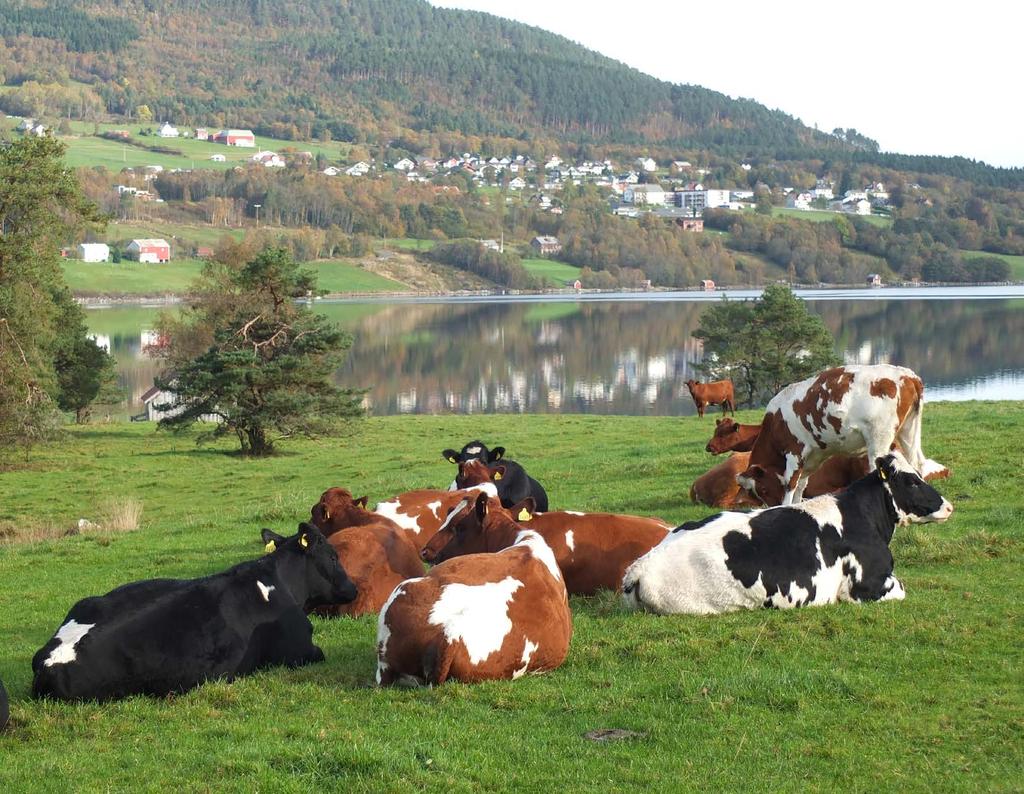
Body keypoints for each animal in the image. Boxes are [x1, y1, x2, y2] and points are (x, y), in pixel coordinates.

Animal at [618, 452, 954, 614]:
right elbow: (902, 589)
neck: (863, 516)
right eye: (912, 481)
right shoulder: (867, 586)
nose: (948, 506)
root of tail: (641, 566)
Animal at [737, 364, 942, 506]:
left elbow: (791, 483)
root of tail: (907, 374)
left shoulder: (795, 450)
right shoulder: (813, 456)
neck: (775, 423)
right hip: (909, 430)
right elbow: (802, 484)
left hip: (879, 437)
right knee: (916, 463)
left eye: (763, 489)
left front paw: (786, 506)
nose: (770, 507)